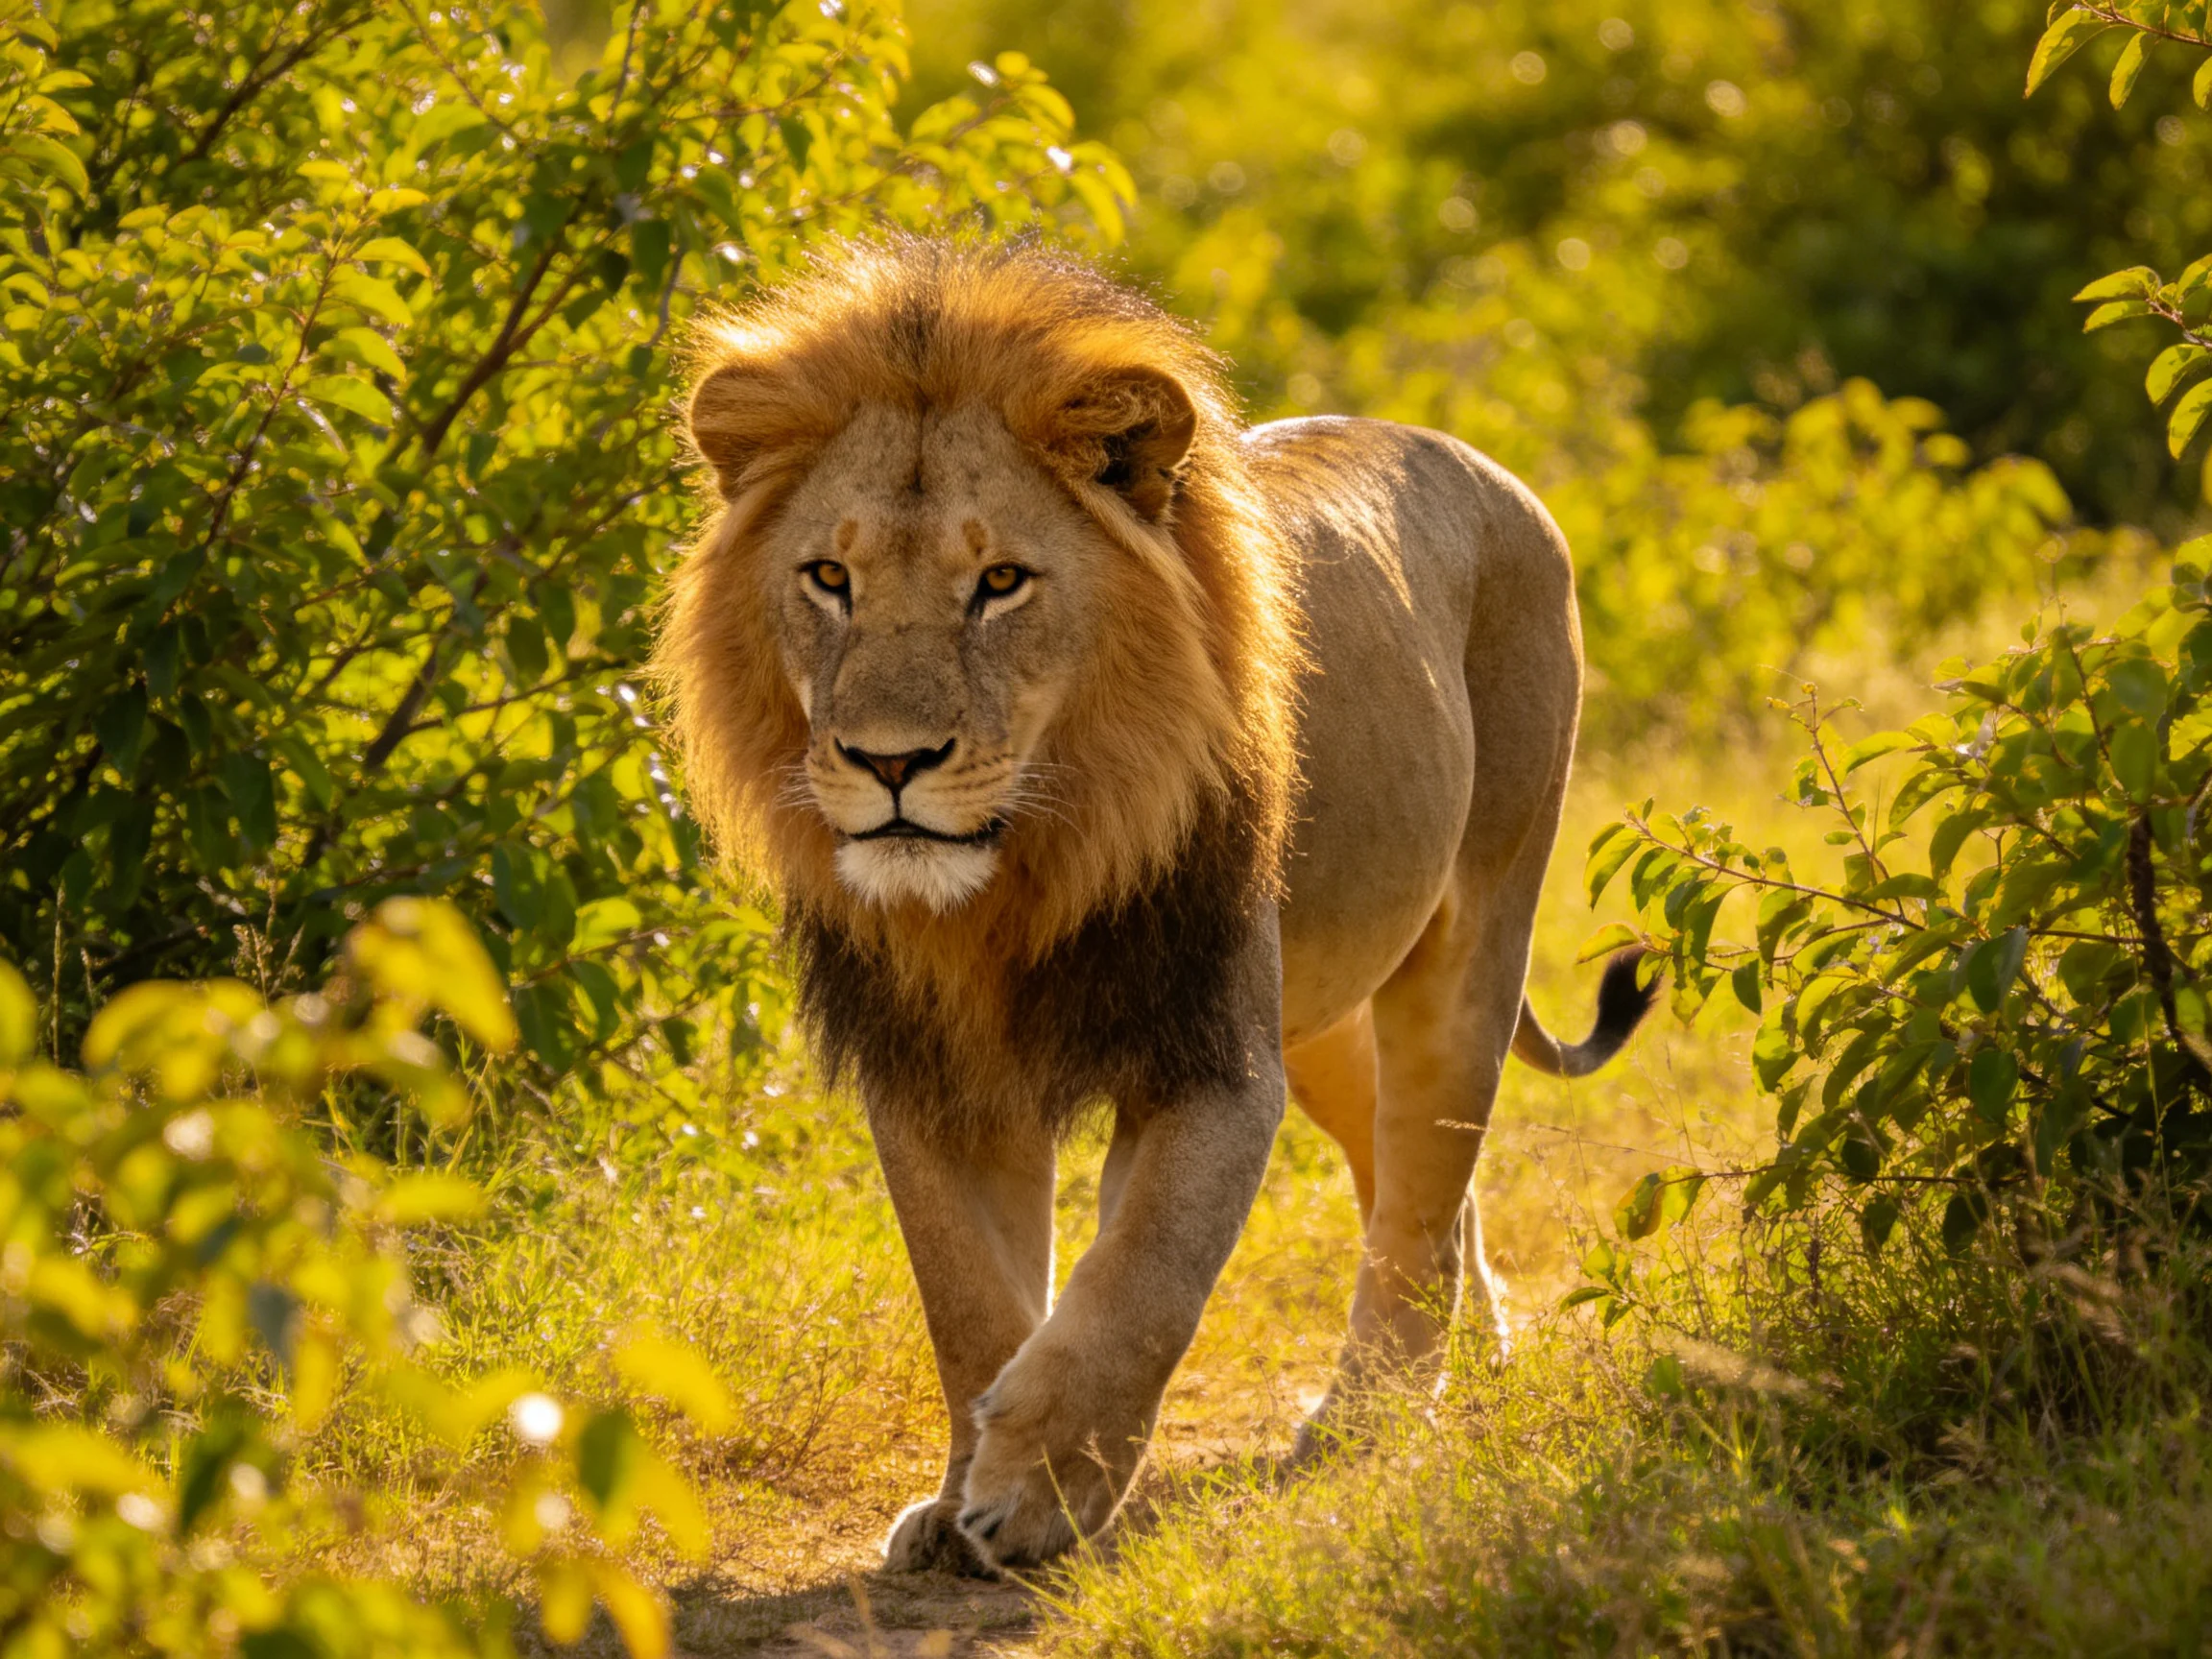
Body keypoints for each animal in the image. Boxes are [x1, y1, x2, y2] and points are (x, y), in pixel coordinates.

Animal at [653, 237, 1652, 1575]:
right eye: (828, 578)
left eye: (1001, 582)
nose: (889, 762)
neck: (1008, 888)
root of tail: (1480, 463)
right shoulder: (931, 1075)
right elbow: (971, 1302)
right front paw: (960, 1494)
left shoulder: (1209, 1055)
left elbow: (1139, 1279)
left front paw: (1039, 1492)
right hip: (1319, 1017)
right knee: (1418, 1182)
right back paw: (1473, 1357)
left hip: (1475, 927)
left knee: (1428, 1170)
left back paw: (1374, 1409)